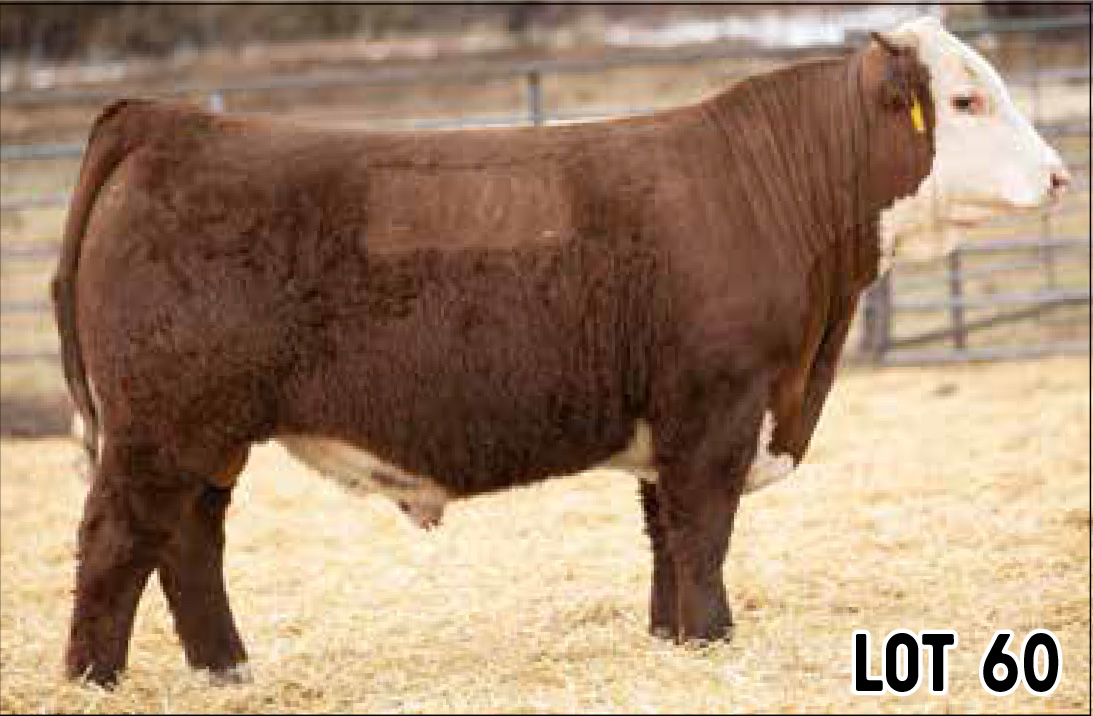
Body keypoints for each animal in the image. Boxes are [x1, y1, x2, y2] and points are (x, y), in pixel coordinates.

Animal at [53, 17, 1069, 687]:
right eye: (966, 99)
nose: (1060, 175)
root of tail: (170, 121)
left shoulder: (668, 419)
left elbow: (664, 535)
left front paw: (672, 640)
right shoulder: (717, 406)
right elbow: (703, 531)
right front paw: (713, 640)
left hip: (205, 436)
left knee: (189, 541)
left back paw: (227, 669)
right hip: (161, 427)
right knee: (115, 541)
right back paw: (94, 681)